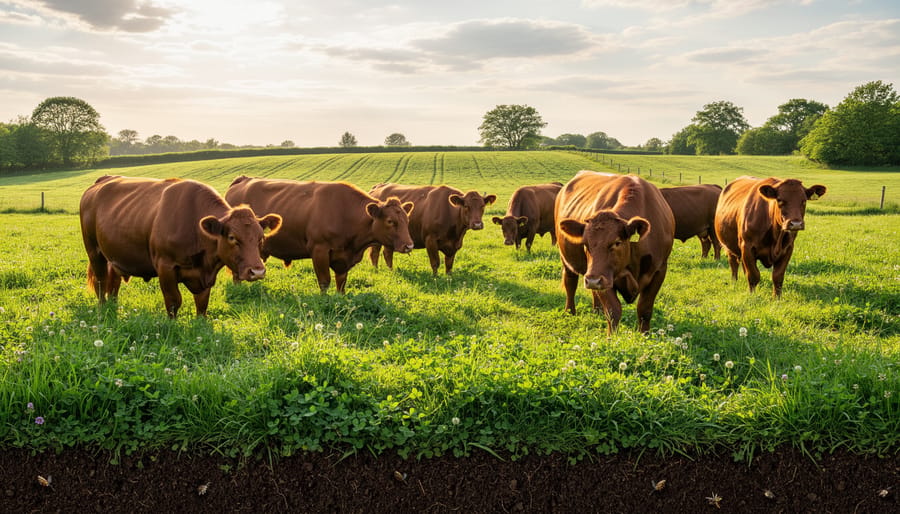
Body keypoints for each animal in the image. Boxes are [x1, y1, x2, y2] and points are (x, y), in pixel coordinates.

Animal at [79, 175, 282, 318]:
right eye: (232, 238)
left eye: (261, 238)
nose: (257, 271)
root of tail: (103, 179)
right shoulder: (165, 266)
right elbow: (173, 300)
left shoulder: (205, 275)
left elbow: (202, 303)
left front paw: (201, 324)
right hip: (94, 251)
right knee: (101, 281)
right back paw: (102, 308)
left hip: (114, 255)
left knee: (114, 280)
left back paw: (113, 306)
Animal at [225, 176, 414, 293]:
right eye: (390, 221)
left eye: (407, 220)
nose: (409, 245)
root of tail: (243, 179)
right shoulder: (319, 250)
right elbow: (324, 281)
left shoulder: (343, 258)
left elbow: (341, 282)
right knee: (236, 274)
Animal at [368, 183, 496, 274]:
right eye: (466, 206)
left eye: (482, 206)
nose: (477, 224)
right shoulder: (430, 240)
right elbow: (435, 262)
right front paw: (435, 278)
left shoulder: (454, 245)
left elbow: (449, 264)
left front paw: (448, 278)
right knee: (375, 253)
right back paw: (376, 271)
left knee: (387, 253)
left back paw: (390, 271)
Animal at [555, 171, 675, 334]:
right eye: (585, 244)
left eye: (617, 242)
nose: (592, 280)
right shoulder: (605, 278)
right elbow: (613, 310)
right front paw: (612, 338)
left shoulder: (659, 270)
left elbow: (645, 309)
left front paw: (645, 335)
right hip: (570, 262)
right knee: (570, 283)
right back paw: (570, 312)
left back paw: (597, 311)